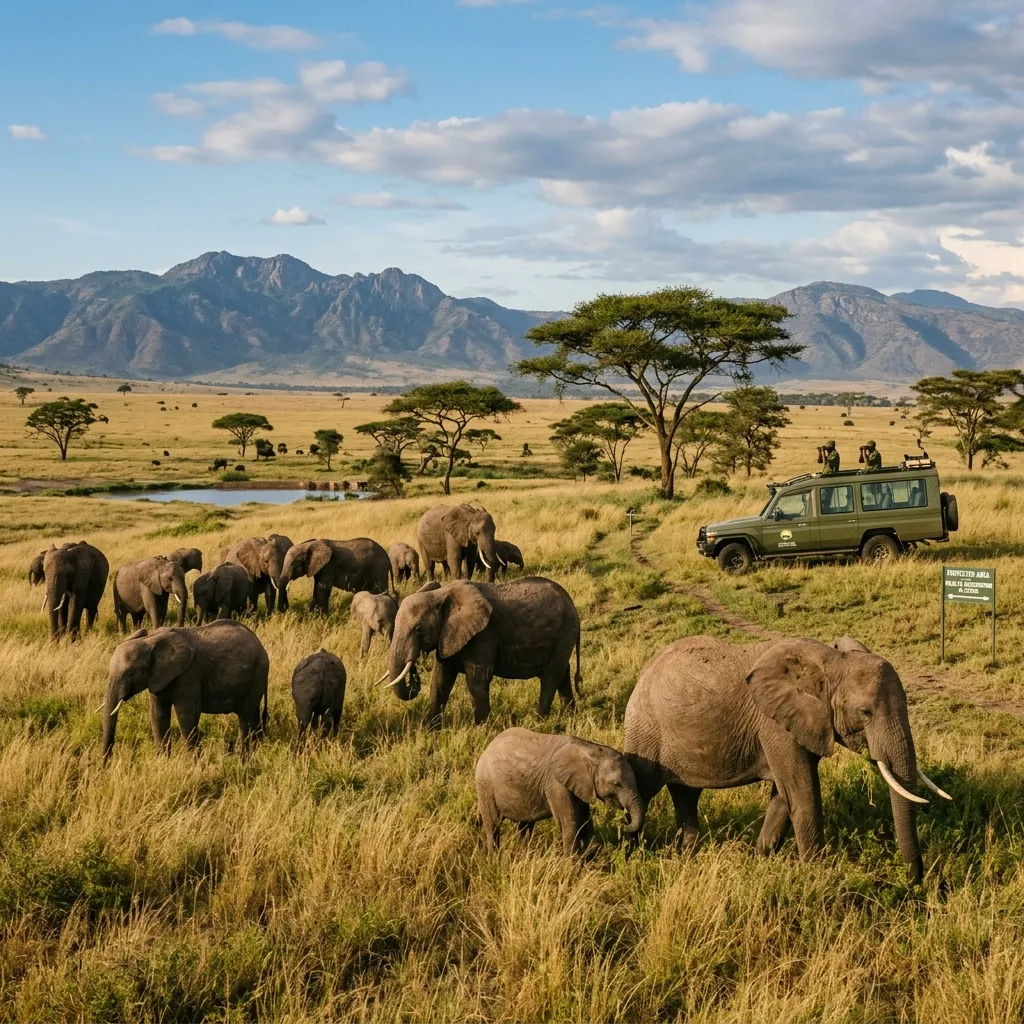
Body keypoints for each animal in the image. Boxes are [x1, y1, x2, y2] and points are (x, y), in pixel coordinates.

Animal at [101, 621, 269, 758]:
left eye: (131, 673)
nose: (105, 765)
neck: (149, 641)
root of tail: (260, 644)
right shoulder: (157, 677)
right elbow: (158, 714)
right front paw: (163, 761)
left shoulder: (189, 673)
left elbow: (187, 715)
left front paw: (193, 763)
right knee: (253, 715)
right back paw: (257, 749)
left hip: (258, 672)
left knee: (245, 716)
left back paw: (243, 757)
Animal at [380, 576, 582, 729]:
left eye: (418, 630)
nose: (414, 671)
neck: (441, 594)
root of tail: (572, 604)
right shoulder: (448, 635)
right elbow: (440, 680)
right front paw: (430, 730)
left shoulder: (482, 635)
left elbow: (477, 679)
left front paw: (480, 730)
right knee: (563, 673)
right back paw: (570, 716)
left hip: (564, 632)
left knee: (550, 676)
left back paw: (537, 723)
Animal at [476, 727, 644, 854]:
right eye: (617, 784)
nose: (625, 828)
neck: (591, 749)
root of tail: (487, 748)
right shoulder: (556, 783)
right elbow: (568, 822)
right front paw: (572, 865)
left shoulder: (580, 784)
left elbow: (584, 821)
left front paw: (591, 854)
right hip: (485, 786)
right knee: (493, 825)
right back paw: (494, 859)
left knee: (526, 825)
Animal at [622, 635, 952, 883]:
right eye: (865, 712)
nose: (914, 881)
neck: (830, 663)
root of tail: (644, 672)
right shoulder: (776, 725)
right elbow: (801, 792)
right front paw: (819, 877)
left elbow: (783, 796)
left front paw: (760, 863)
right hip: (645, 728)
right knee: (642, 790)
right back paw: (629, 856)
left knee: (686, 795)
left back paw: (686, 858)